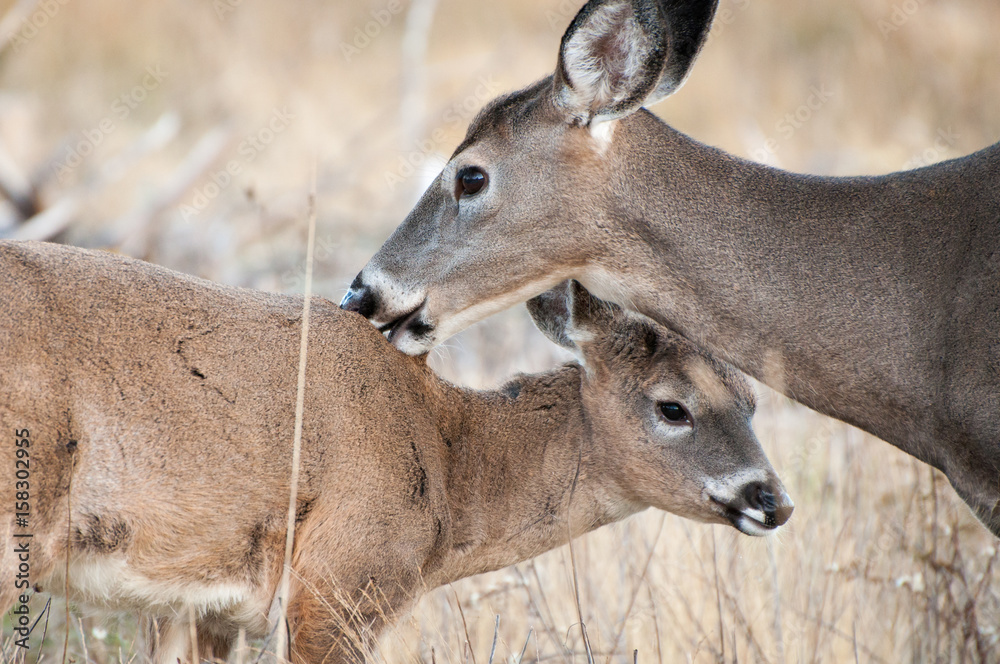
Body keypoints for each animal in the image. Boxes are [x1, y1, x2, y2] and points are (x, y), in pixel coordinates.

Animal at [0, 240, 791, 663]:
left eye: (754, 400)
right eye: (672, 406)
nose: (773, 500)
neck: (449, 458)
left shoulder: (205, 609)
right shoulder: (339, 583)